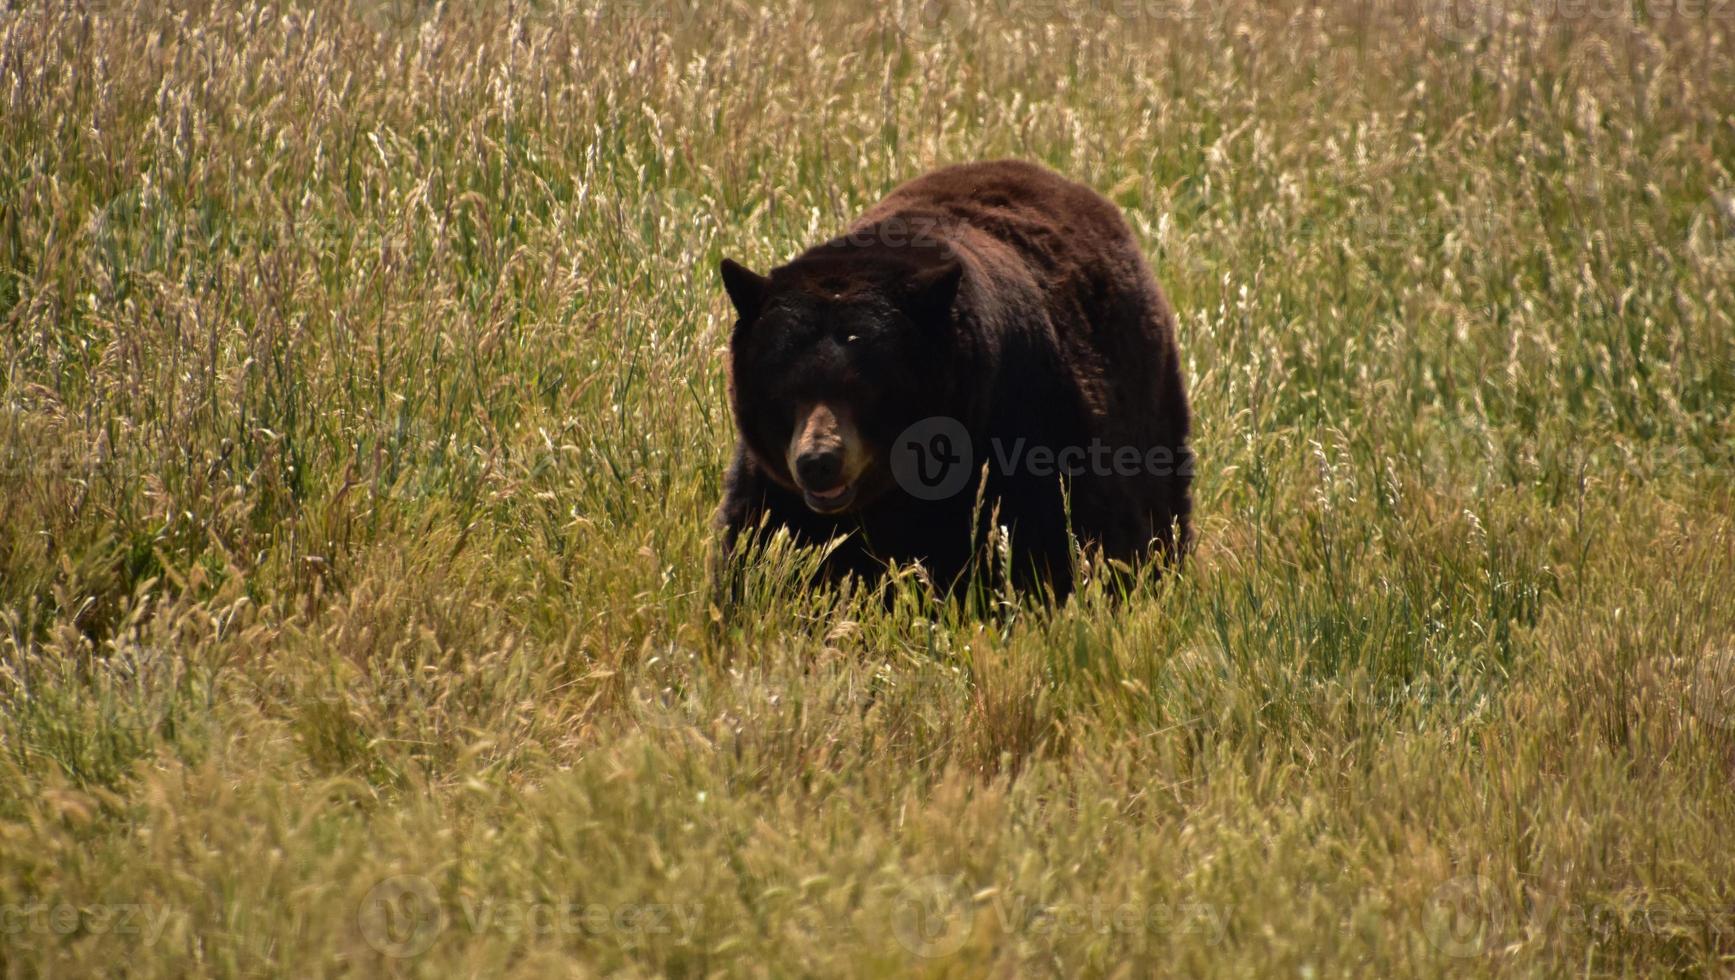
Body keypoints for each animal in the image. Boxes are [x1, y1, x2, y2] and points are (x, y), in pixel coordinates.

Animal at [711, 160, 1186, 596]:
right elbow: (758, 551)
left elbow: (1043, 548)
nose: (818, 462)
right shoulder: (776, 491)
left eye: (866, 388)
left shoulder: (1026, 437)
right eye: (783, 387)